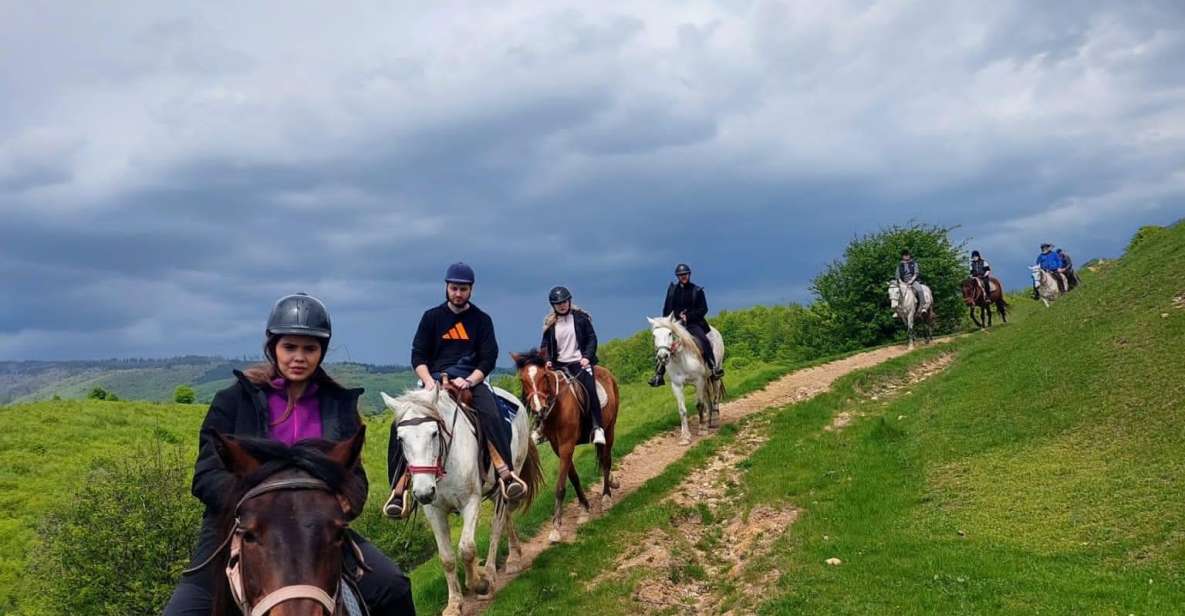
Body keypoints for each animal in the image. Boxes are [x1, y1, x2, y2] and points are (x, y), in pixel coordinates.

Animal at [381, 390, 540, 616]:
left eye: (434, 433)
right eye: (400, 439)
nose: (423, 492)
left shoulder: (470, 502)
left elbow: (466, 549)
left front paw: (479, 583)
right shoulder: (434, 511)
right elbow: (446, 558)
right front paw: (454, 603)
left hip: (509, 476)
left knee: (497, 525)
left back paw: (494, 570)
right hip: (495, 490)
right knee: (506, 517)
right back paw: (514, 556)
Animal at [509, 350, 620, 544]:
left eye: (544, 376)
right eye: (523, 380)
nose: (539, 409)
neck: (557, 407)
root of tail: (605, 372)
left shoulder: (567, 445)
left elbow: (560, 486)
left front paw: (555, 528)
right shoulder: (558, 448)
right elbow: (574, 478)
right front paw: (584, 508)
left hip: (610, 428)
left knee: (606, 461)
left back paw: (606, 497)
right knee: (604, 458)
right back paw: (612, 483)